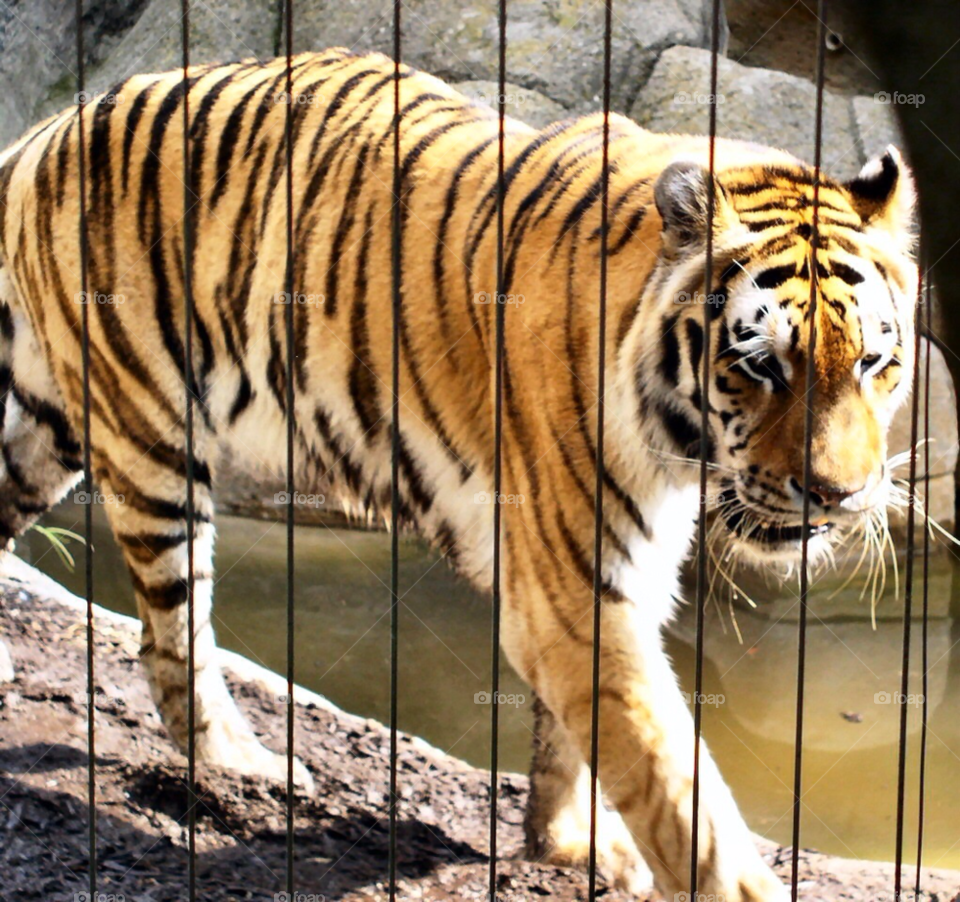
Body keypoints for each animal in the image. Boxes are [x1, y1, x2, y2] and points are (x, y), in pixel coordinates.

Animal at [0, 46, 920, 900]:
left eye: (874, 362)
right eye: (762, 364)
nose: (840, 496)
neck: (677, 446)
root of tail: (51, 128)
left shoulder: (604, 579)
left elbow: (573, 741)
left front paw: (568, 844)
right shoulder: (576, 593)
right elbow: (682, 798)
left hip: (48, 429)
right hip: (151, 440)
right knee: (170, 638)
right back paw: (246, 764)